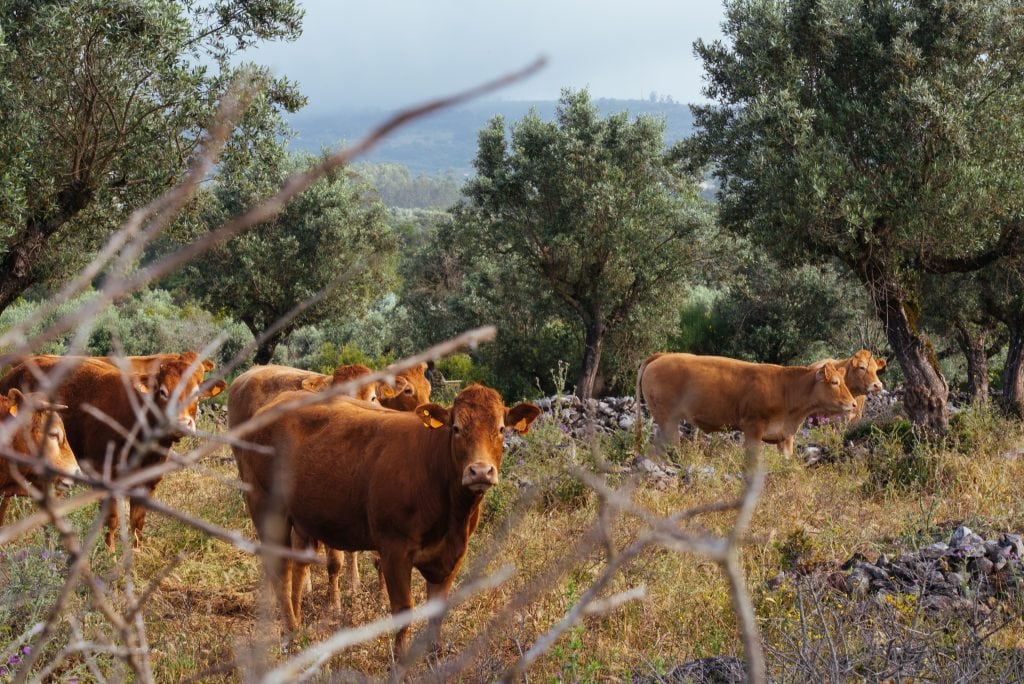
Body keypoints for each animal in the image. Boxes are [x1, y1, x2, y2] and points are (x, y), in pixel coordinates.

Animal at [231, 384, 539, 652]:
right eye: (456, 429)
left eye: (501, 429)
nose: (480, 471)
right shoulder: (394, 549)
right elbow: (403, 610)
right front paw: (400, 663)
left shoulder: (452, 554)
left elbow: (437, 612)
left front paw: (433, 656)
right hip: (266, 509)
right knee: (280, 572)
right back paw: (291, 636)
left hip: (303, 519)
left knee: (299, 565)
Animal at [635, 353, 858, 457]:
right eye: (835, 382)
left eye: (844, 381)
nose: (854, 404)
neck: (786, 389)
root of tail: (662, 356)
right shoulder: (752, 429)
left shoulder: (785, 437)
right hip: (668, 420)